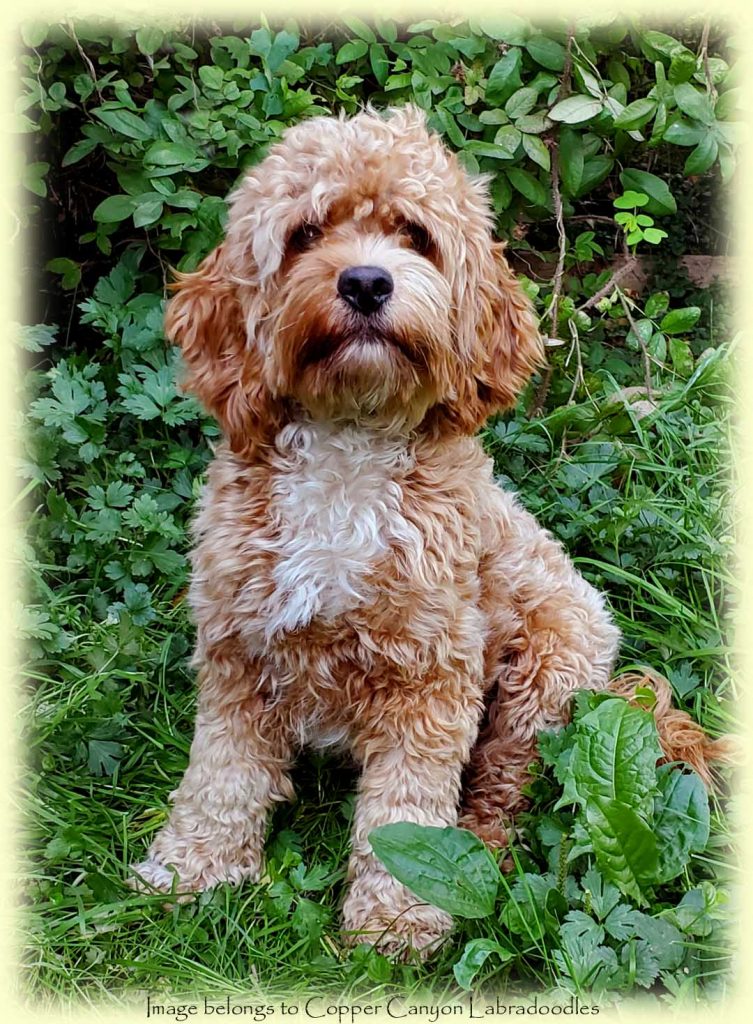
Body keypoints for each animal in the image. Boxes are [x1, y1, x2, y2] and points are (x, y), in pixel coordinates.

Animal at [134, 103, 725, 950]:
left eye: (413, 234)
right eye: (306, 233)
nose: (365, 280)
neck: (348, 444)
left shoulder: (431, 671)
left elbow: (404, 808)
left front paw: (398, 916)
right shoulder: (237, 651)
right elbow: (221, 773)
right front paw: (192, 868)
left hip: (547, 670)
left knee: (505, 792)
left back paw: (476, 856)